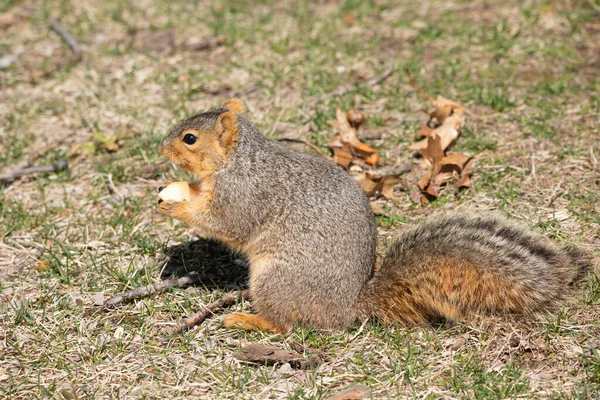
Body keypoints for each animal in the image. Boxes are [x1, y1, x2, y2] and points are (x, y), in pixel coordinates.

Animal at [157, 98, 592, 332]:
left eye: (190, 139)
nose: (161, 148)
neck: (237, 161)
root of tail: (348, 307)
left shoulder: (244, 195)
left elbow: (225, 224)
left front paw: (175, 203)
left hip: (275, 281)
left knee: (291, 323)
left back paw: (249, 321)